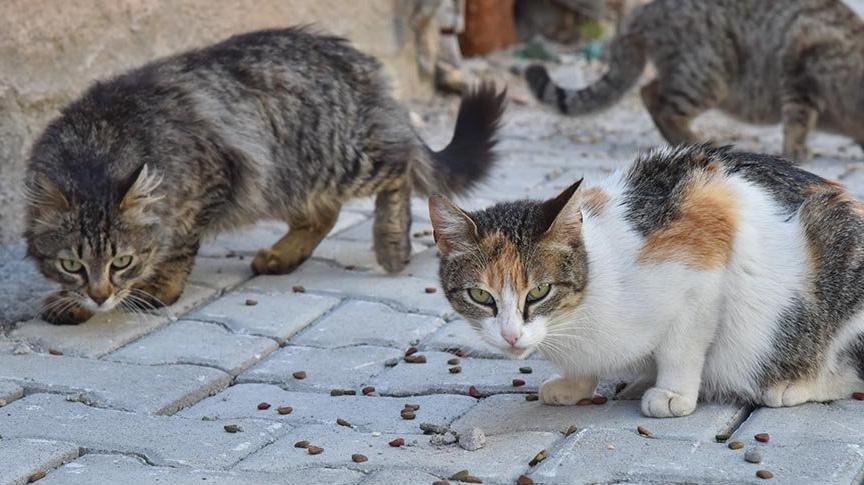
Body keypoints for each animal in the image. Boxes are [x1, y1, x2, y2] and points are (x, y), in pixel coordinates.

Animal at [25, 28, 506, 328]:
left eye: (122, 261)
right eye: (72, 264)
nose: (100, 295)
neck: (100, 143)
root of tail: (360, 63)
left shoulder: (213, 178)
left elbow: (177, 248)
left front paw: (157, 287)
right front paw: (75, 302)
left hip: (339, 158)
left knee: (399, 168)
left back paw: (391, 244)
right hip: (288, 178)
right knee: (325, 214)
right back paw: (282, 256)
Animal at [432, 144, 864, 416]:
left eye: (539, 291)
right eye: (480, 295)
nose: (510, 336)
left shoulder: (705, 245)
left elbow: (682, 346)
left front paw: (673, 394)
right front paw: (574, 385)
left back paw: (791, 386)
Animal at [524, 0, 864, 163]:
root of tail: (641, 13)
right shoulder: (803, 58)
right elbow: (798, 119)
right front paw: (797, 149)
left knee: (650, 91)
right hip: (708, 74)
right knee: (660, 102)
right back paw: (693, 139)